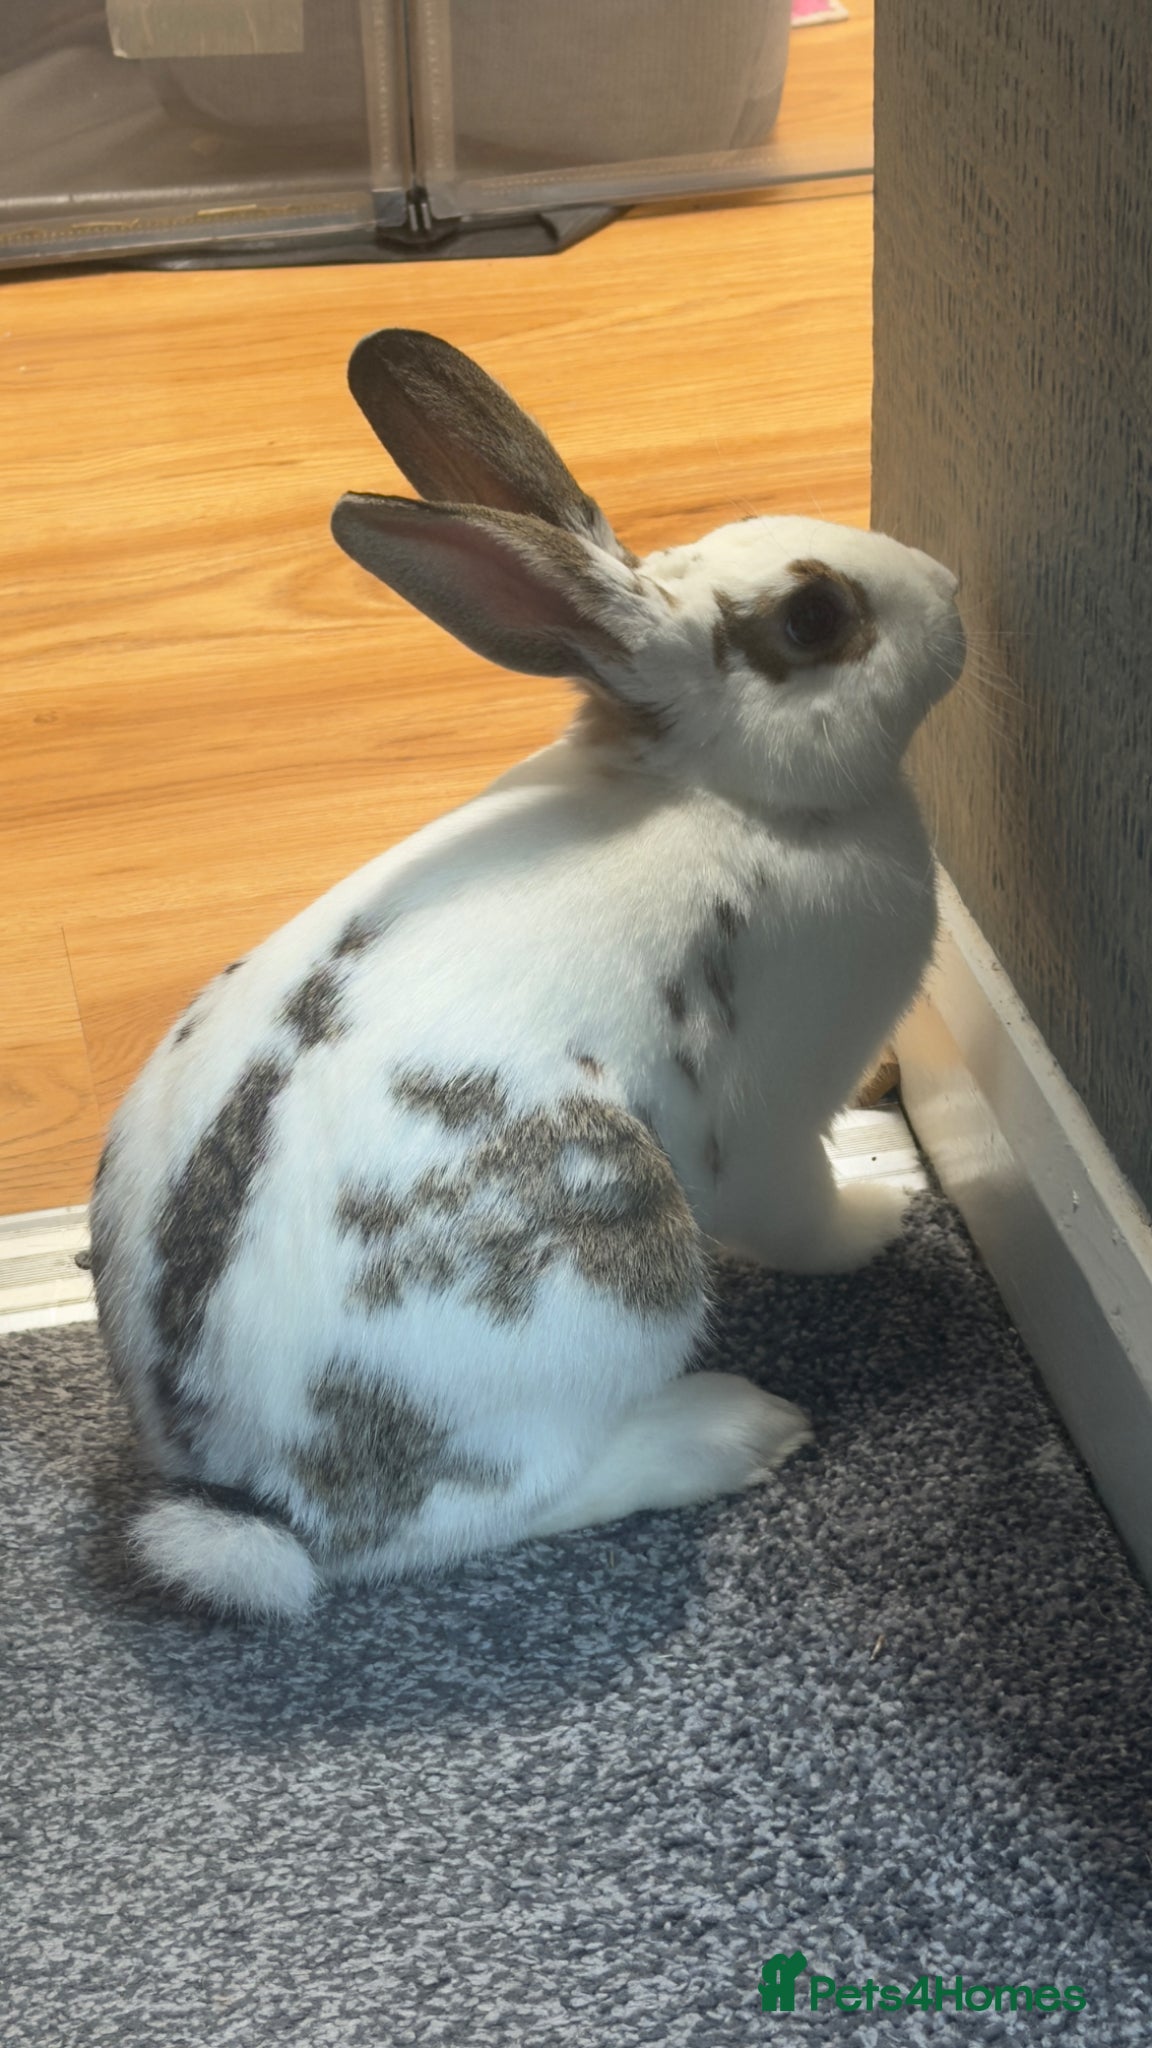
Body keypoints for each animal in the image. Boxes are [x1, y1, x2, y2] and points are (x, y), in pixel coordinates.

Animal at [89, 328, 966, 1621]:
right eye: (813, 616)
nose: (952, 590)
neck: (719, 793)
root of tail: (253, 1494)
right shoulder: (767, 1118)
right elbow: (803, 1208)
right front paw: (884, 1213)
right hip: (620, 1265)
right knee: (492, 1508)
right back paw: (730, 1430)